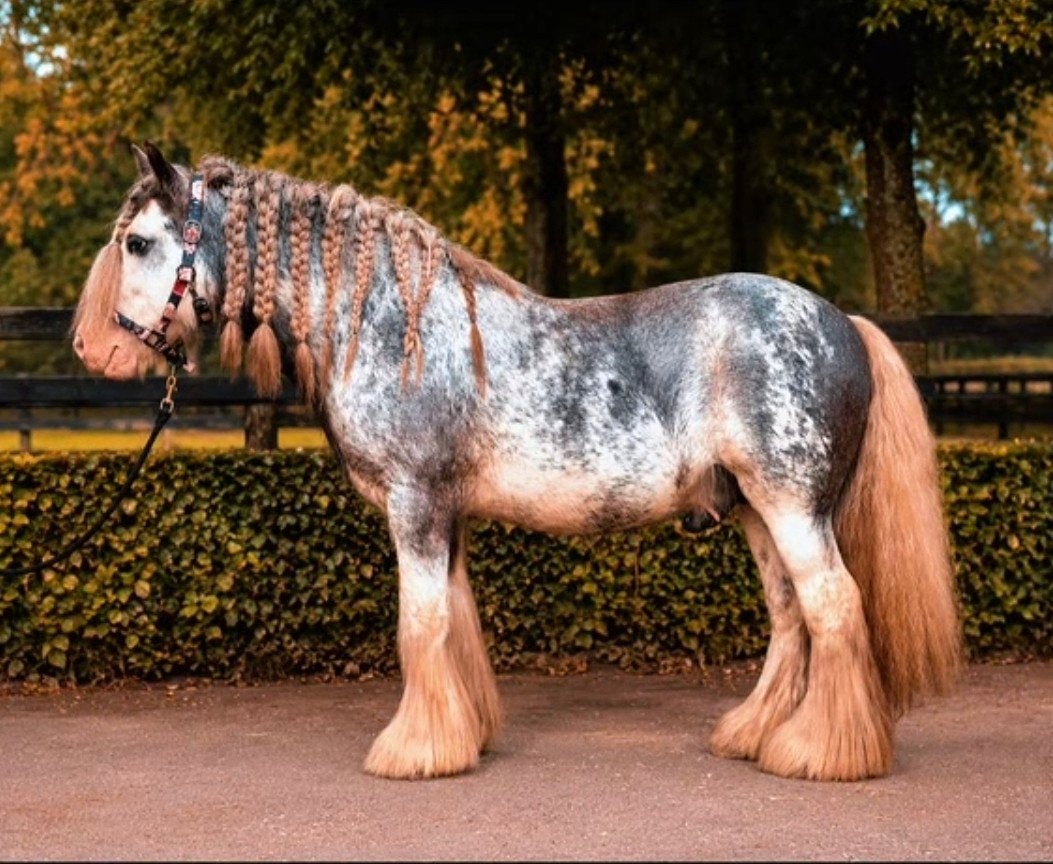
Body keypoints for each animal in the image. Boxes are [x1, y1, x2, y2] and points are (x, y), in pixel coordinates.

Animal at [72, 142, 961, 782]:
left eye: (139, 242)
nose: (92, 350)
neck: (389, 324)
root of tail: (841, 322)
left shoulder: (416, 504)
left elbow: (420, 622)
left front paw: (411, 752)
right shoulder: (444, 513)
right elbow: (454, 621)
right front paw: (460, 735)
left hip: (793, 508)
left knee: (833, 607)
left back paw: (820, 755)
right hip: (752, 512)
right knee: (790, 618)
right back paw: (756, 735)